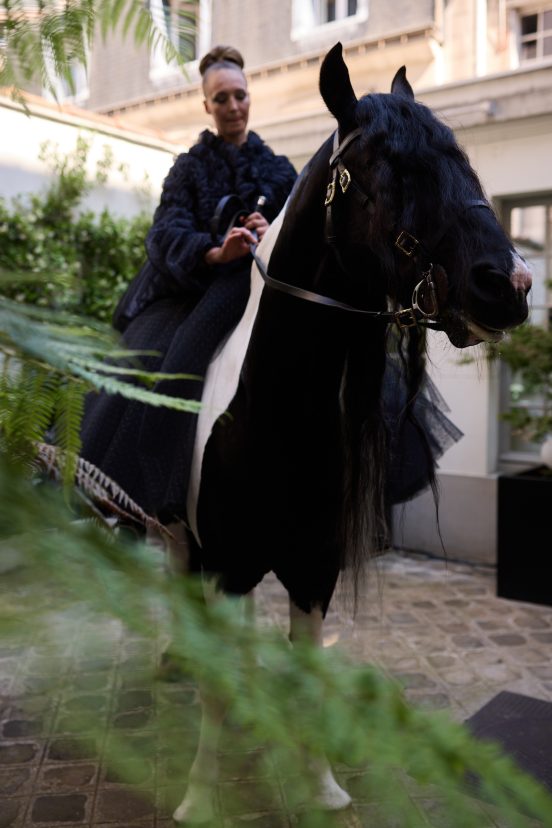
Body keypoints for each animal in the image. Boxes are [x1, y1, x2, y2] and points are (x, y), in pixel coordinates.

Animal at [171, 43, 532, 820]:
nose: (511, 285)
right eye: (389, 167)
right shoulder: (223, 563)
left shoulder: (314, 570)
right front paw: (200, 798)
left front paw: (323, 786)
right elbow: (213, 683)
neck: (278, 416)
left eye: (460, 158)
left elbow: (308, 677)